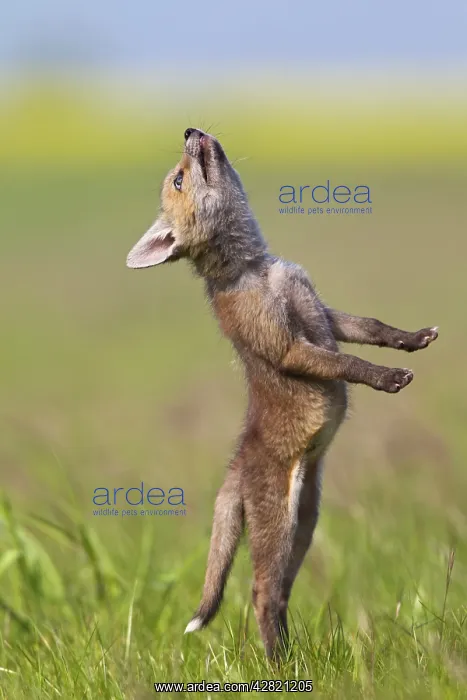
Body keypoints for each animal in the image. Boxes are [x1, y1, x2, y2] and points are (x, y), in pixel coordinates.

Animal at [126, 127, 439, 659]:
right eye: (179, 179)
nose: (190, 131)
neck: (259, 270)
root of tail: (235, 463)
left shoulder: (325, 313)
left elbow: (371, 327)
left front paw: (412, 339)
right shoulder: (287, 344)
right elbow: (346, 363)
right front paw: (387, 377)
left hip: (305, 525)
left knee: (281, 594)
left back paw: (295, 655)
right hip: (278, 528)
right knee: (259, 592)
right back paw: (279, 664)